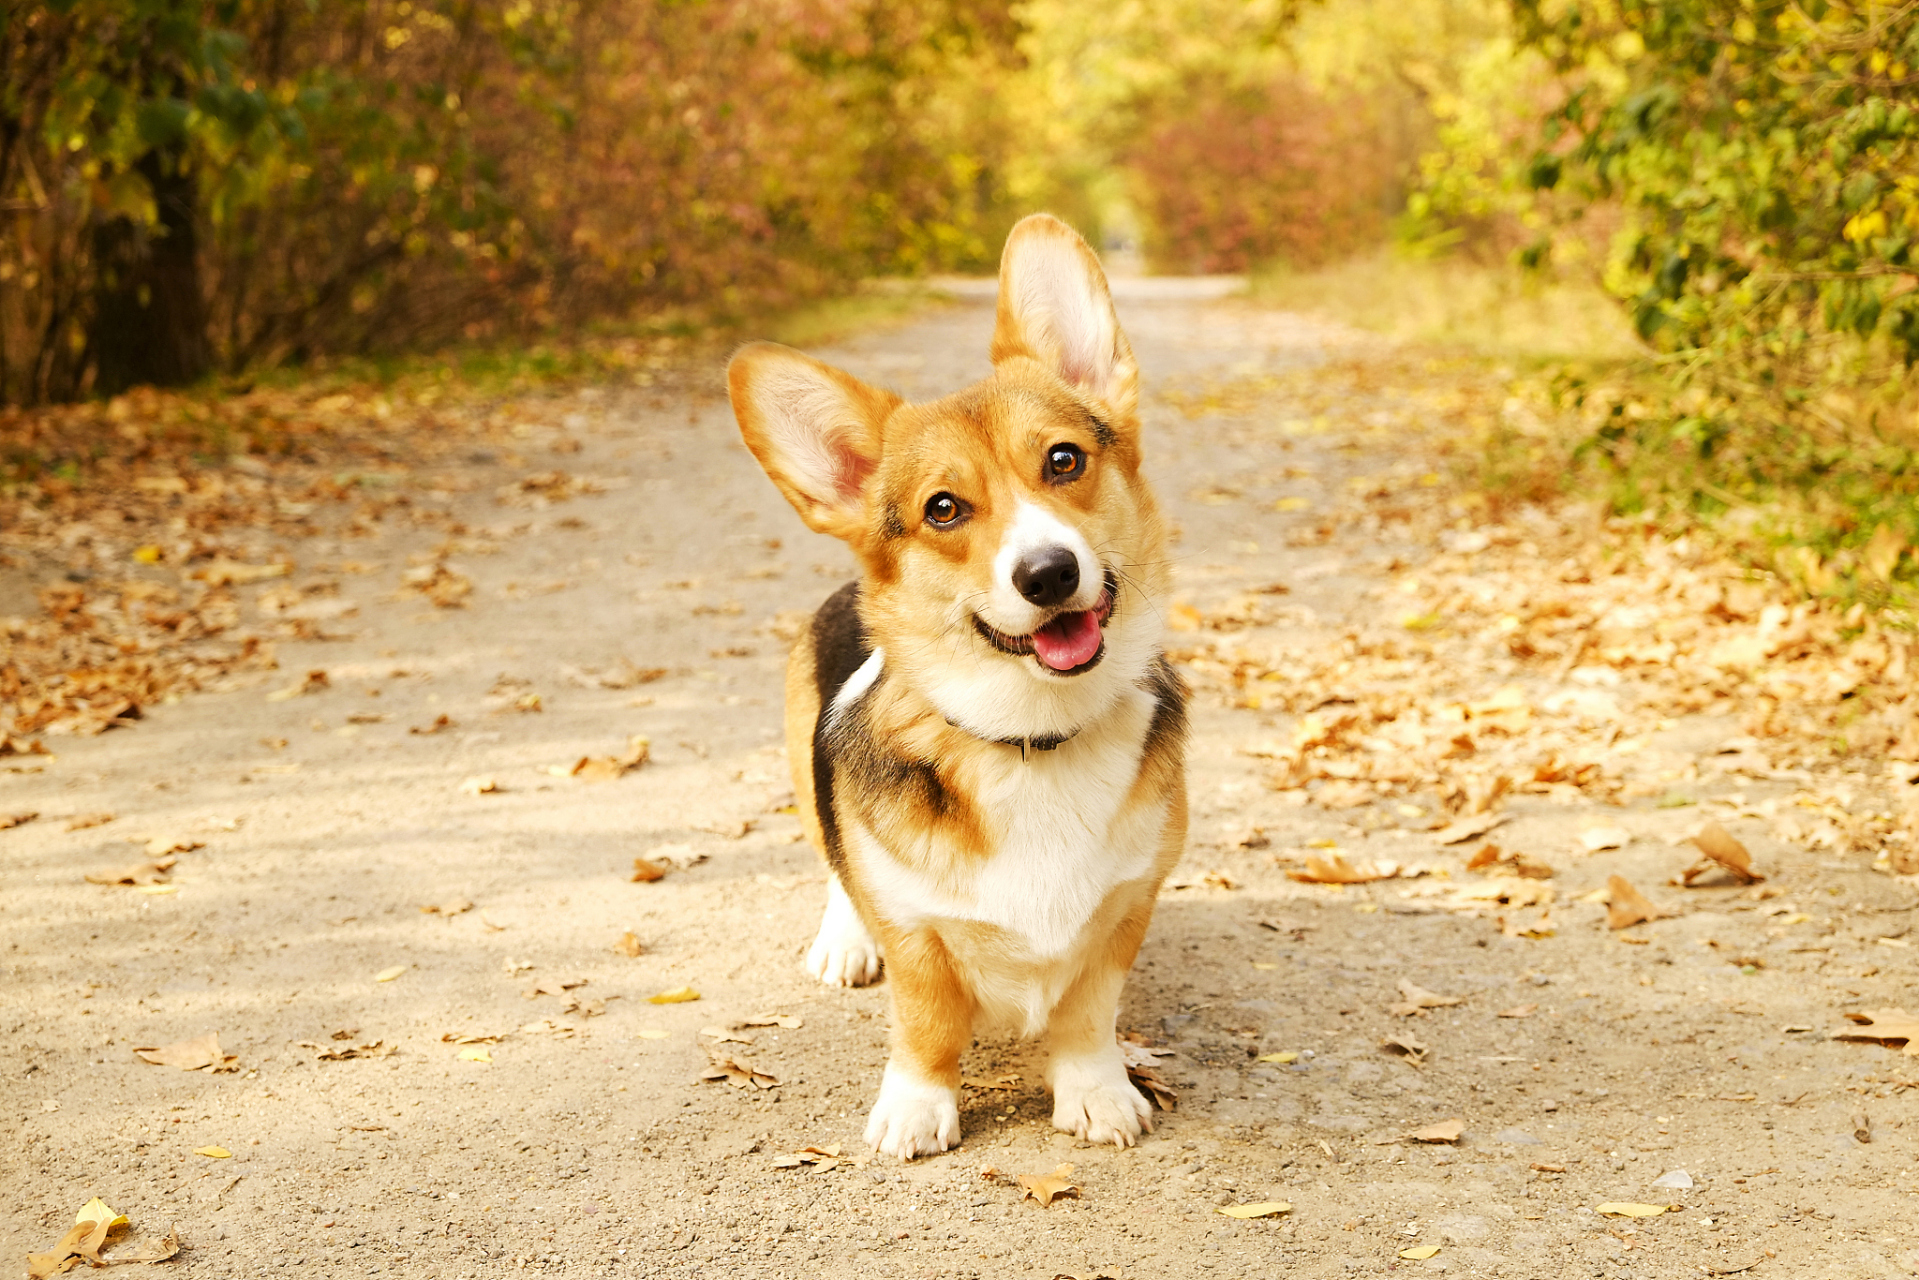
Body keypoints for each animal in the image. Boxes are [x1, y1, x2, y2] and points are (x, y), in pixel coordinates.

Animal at [733, 213, 1182, 1159]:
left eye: (1063, 460)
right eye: (943, 509)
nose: (1048, 574)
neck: (1032, 739)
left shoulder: (1125, 908)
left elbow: (1086, 1017)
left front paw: (1095, 1093)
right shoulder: (916, 933)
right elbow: (927, 1022)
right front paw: (916, 1107)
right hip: (806, 776)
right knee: (834, 863)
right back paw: (842, 943)